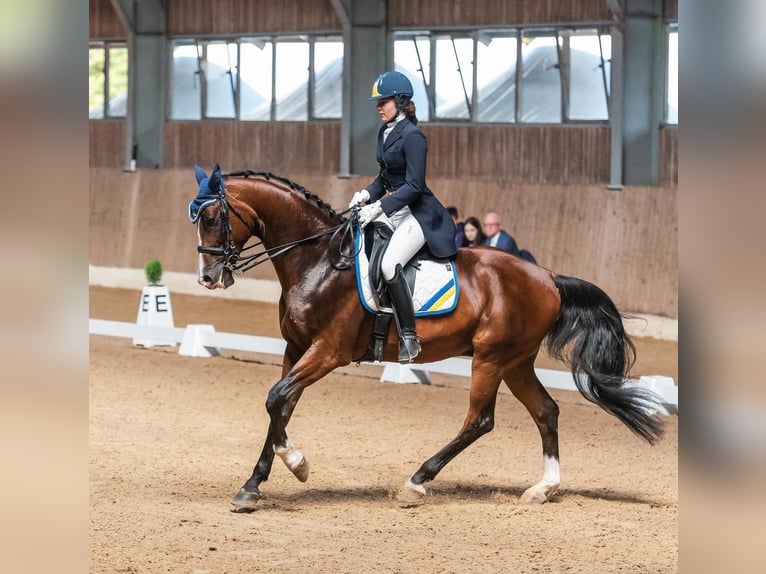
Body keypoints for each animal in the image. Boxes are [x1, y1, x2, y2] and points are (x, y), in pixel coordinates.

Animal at [189, 164, 664, 510]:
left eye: (211, 217)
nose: (208, 278)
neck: (318, 260)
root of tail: (548, 276)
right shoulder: (296, 348)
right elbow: (281, 406)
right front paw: (255, 485)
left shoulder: (327, 352)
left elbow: (276, 399)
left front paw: (296, 466)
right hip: (515, 362)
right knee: (546, 411)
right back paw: (541, 489)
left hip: (490, 359)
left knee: (480, 421)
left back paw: (417, 483)